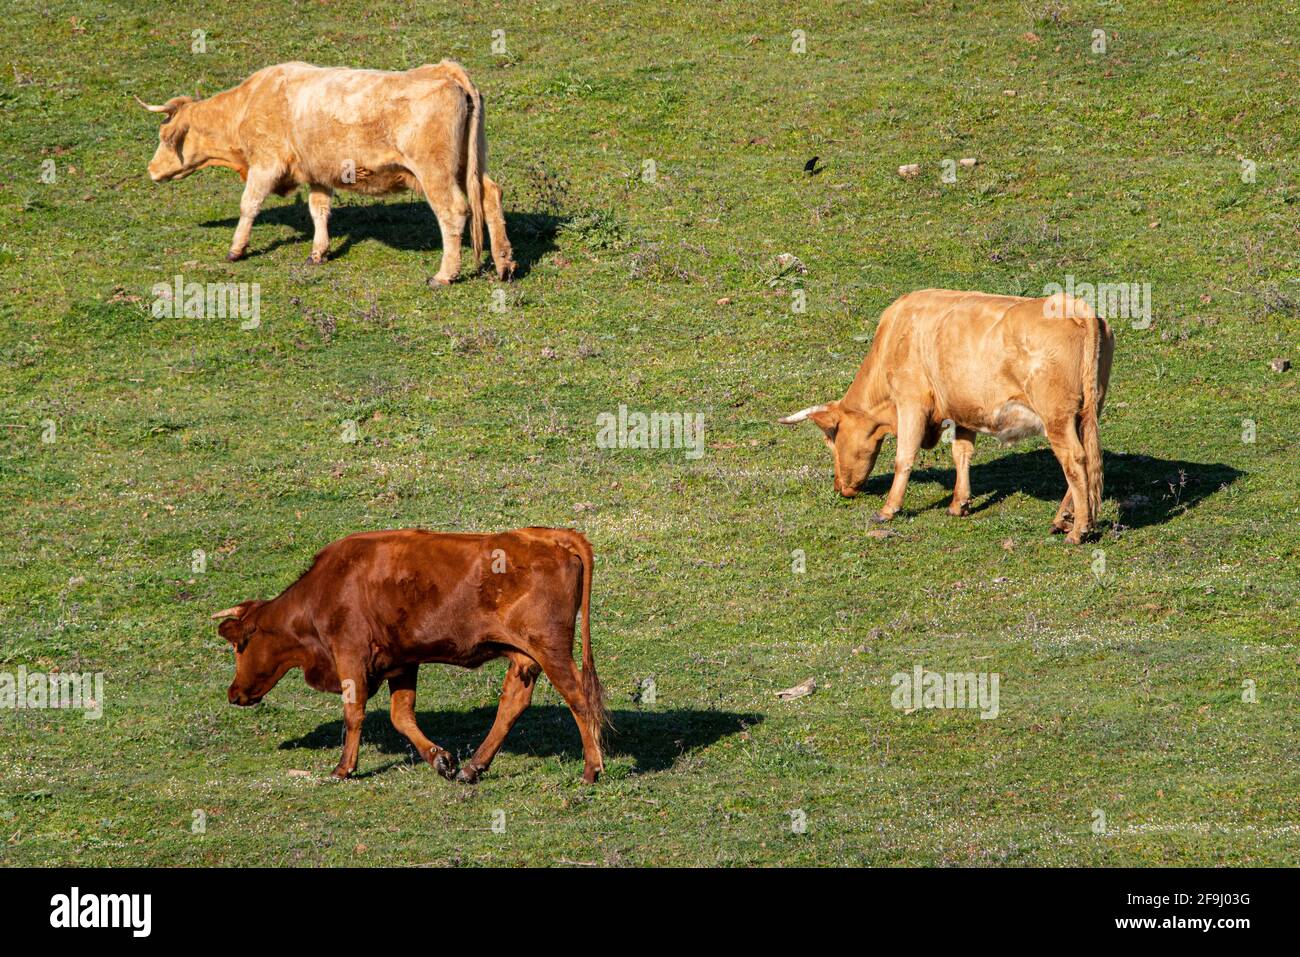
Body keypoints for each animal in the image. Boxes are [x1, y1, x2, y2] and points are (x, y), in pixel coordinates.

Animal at [138, 60, 515, 283]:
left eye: (163, 136)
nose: (151, 169)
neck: (249, 102)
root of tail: (444, 69)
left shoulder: (266, 163)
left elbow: (249, 205)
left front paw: (236, 249)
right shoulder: (318, 173)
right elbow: (319, 210)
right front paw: (319, 252)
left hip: (435, 171)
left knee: (453, 211)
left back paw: (445, 274)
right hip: (470, 164)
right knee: (490, 195)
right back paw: (504, 264)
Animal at [212, 528, 606, 783]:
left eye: (238, 646)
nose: (233, 693)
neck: (323, 590)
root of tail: (549, 535)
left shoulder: (350, 654)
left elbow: (353, 713)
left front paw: (343, 768)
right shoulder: (401, 661)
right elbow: (401, 716)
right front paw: (442, 761)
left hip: (551, 650)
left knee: (578, 697)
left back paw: (591, 769)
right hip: (524, 657)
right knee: (513, 703)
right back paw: (472, 768)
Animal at [780, 289, 1115, 543]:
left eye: (831, 439)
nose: (840, 487)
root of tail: (1073, 305)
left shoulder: (911, 401)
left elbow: (904, 457)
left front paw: (889, 509)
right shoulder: (963, 409)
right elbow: (961, 454)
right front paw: (959, 504)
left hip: (1056, 416)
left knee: (1074, 460)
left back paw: (1079, 530)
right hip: (1086, 413)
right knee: (1085, 459)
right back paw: (1064, 519)